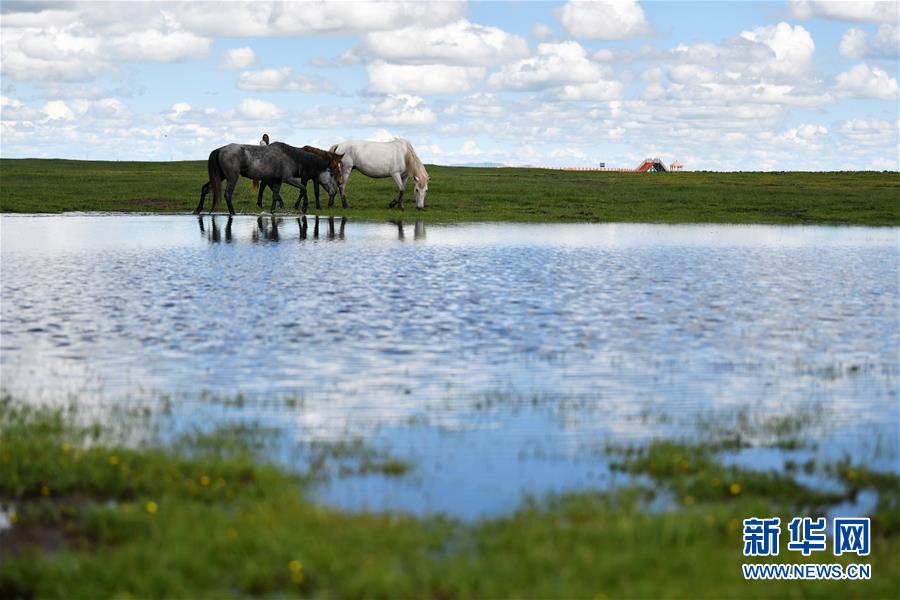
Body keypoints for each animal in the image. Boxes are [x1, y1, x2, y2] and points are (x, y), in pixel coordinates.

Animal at [195, 142, 340, 214]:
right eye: (332, 174)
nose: (335, 191)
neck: (292, 158)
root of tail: (220, 149)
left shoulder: (277, 181)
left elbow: (275, 196)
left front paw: (273, 211)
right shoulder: (288, 179)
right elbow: (303, 188)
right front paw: (304, 207)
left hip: (220, 176)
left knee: (205, 189)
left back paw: (198, 210)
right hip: (231, 177)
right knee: (227, 194)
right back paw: (232, 213)